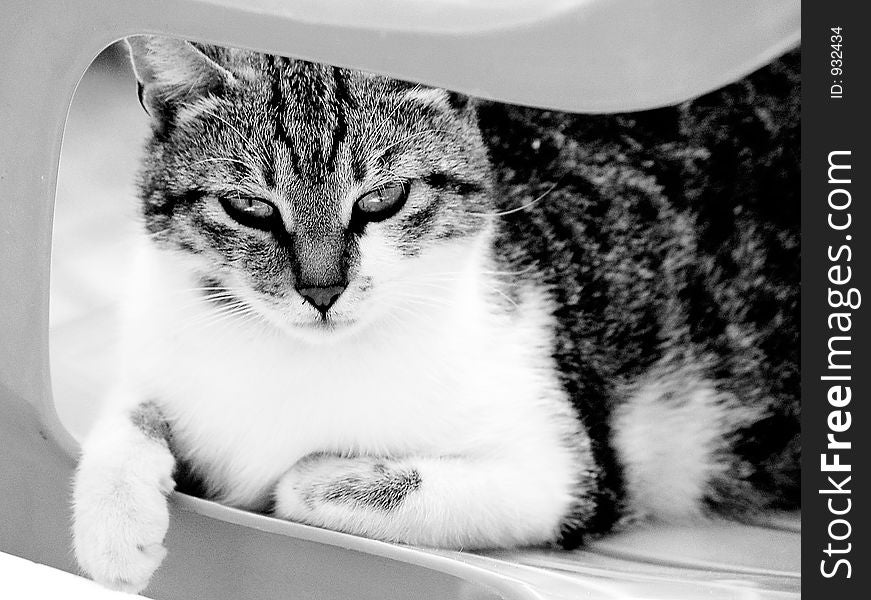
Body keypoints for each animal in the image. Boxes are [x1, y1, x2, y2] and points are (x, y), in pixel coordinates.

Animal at [71, 35, 800, 592]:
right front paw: (115, 533)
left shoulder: (566, 475)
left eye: (381, 200)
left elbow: (307, 484)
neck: (302, 363)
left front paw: (309, 478)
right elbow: (126, 411)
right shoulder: (161, 345)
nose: (322, 291)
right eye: (249, 207)